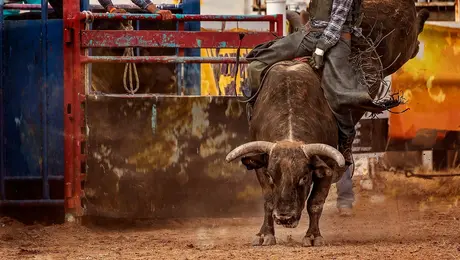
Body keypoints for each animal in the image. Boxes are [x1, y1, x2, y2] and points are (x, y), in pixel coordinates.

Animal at [225, 0, 430, 247]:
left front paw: (313, 236)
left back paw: (422, 17)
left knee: (411, 43)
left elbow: (315, 203)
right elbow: (267, 200)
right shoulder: (261, 166)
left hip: (394, 50)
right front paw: (265, 234)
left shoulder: (327, 167)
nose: (285, 217)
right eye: (274, 176)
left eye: (304, 177)